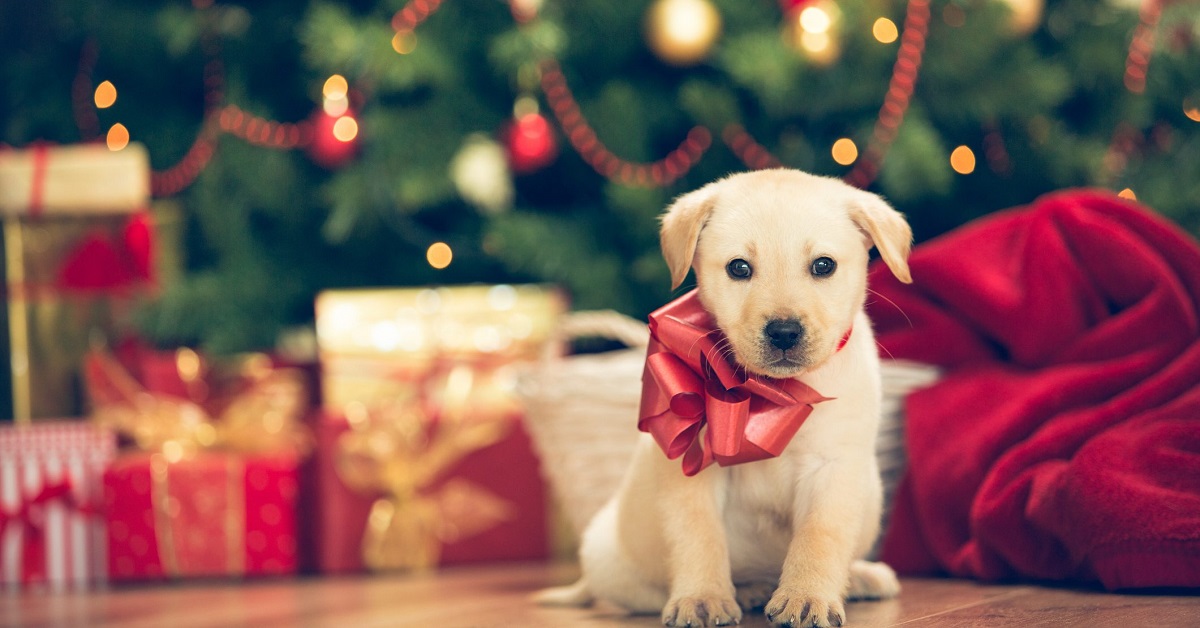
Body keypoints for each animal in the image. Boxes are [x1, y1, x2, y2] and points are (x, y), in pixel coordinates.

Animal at [540, 170, 912, 628]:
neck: (772, 392)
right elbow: (699, 535)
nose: (784, 332)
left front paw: (807, 595)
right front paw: (702, 597)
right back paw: (748, 590)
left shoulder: (834, 468)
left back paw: (860, 577)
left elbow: (819, 538)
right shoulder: (692, 467)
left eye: (823, 265)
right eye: (739, 268)